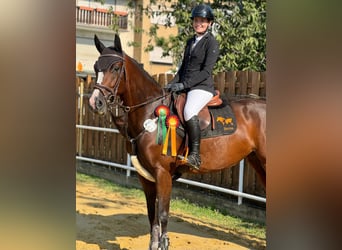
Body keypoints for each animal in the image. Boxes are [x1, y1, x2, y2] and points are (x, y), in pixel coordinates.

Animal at [89, 33, 268, 250]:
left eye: (115, 68)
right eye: (96, 67)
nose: (95, 103)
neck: (150, 113)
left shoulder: (163, 173)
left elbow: (163, 214)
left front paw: (164, 243)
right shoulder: (145, 176)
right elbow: (152, 215)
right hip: (257, 161)